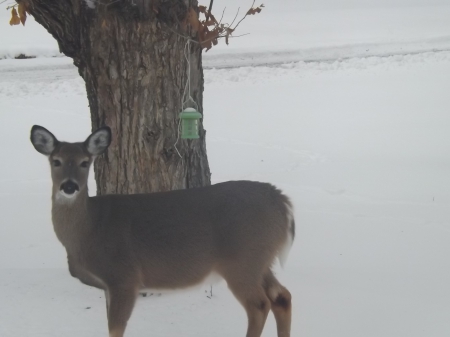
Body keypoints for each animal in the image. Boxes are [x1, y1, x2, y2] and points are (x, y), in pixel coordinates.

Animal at [29, 124, 296, 334]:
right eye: (56, 161)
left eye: (85, 163)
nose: (70, 186)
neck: (90, 230)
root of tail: (281, 201)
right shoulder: (108, 285)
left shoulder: (124, 276)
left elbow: (115, 329)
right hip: (260, 260)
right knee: (282, 296)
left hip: (242, 261)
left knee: (260, 305)